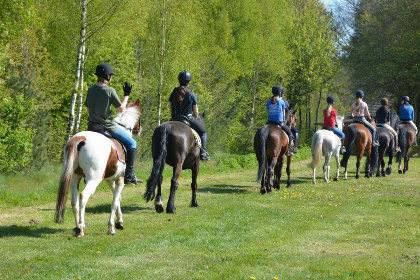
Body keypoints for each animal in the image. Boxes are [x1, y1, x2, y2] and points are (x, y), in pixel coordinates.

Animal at [55, 99, 142, 237]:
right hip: (93, 179)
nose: (139, 130)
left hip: (74, 177)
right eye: (140, 116)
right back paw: (80, 227)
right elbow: (114, 202)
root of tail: (81, 138)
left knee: (74, 201)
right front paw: (111, 228)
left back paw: (77, 228)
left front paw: (119, 222)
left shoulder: (110, 180)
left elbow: (117, 199)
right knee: (83, 196)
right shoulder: (120, 180)